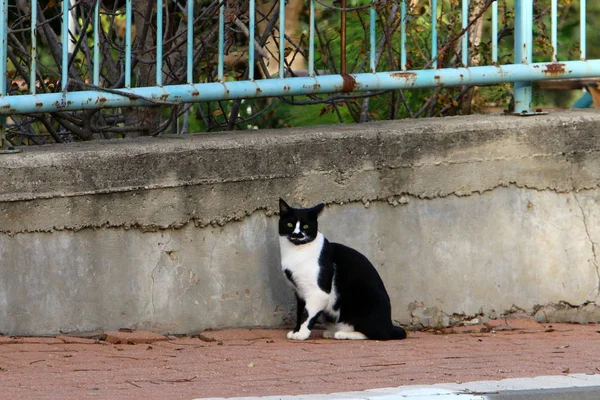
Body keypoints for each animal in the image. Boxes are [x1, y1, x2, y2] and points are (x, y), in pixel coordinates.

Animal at [278, 199, 406, 340]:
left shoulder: (318, 292)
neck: (297, 251)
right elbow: (300, 312)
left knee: (379, 334)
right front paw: (296, 331)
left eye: (306, 226)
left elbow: (308, 314)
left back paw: (343, 334)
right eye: (289, 224)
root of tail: (389, 324)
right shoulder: (299, 292)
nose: (297, 234)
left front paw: (302, 334)